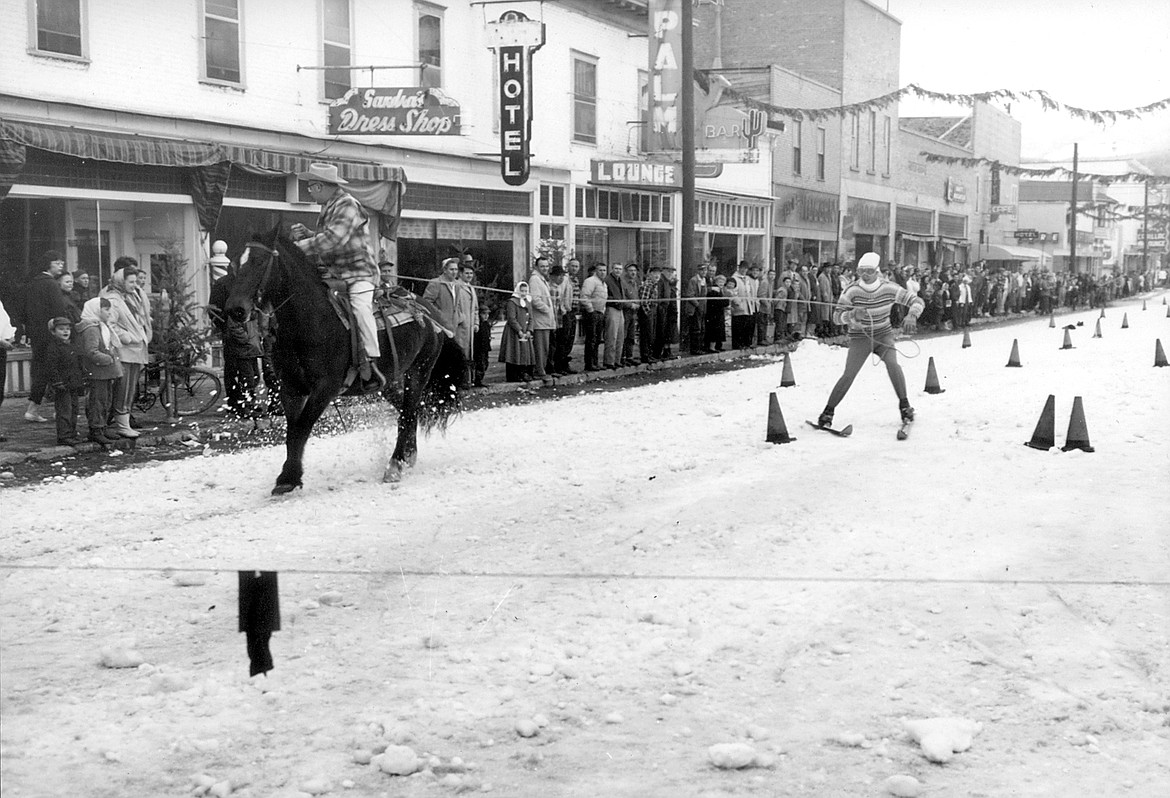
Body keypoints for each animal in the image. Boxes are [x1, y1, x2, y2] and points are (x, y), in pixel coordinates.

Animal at [225, 223, 463, 491]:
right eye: (235, 264)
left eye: (259, 261)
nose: (235, 310)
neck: (309, 321)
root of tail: (431, 312)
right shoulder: (291, 388)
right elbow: (292, 431)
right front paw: (289, 476)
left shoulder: (325, 388)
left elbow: (302, 428)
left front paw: (289, 477)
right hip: (388, 380)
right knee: (407, 411)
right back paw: (408, 455)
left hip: (419, 371)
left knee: (409, 412)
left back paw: (394, 465)